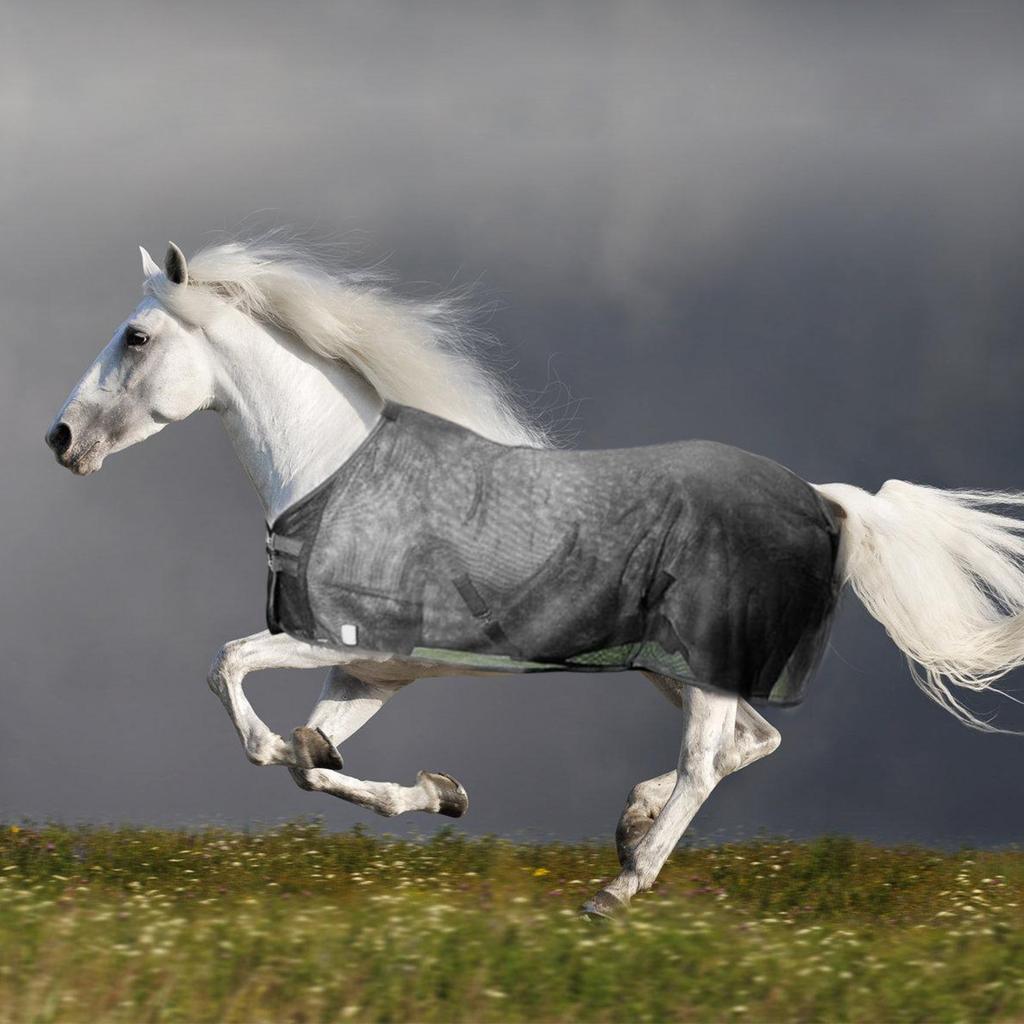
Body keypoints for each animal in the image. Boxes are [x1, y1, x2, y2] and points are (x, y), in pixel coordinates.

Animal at [46, 239, 1024, 918]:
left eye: (136, 336)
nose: (60, 439)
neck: (340, 473)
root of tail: (825, 501)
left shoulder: (330, 640)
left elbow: (234, 679)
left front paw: (365, 768)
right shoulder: (371, 671)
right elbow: (309, 765)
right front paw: (435, 791)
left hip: (702, 669)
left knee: (709, 760)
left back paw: (620, 888)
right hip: (674, 671)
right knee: (749, 743)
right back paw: (631, 827)